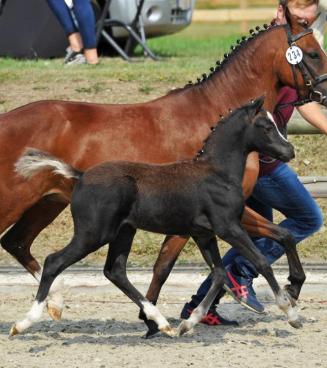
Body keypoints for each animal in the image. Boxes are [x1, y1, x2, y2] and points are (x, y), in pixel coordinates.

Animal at [10, 97, 300, 336]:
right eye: (266, 126)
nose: (290, 151)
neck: (217, 173)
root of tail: (80, 175)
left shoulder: (204, 234)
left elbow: (219, 274)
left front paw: (188, 323)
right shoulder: (228, 227)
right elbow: (260, 261)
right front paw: (290, 311)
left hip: (123, 232)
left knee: (115, 271)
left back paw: (161, 322)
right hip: (93, 234)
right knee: (53, 262)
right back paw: (24, 323)